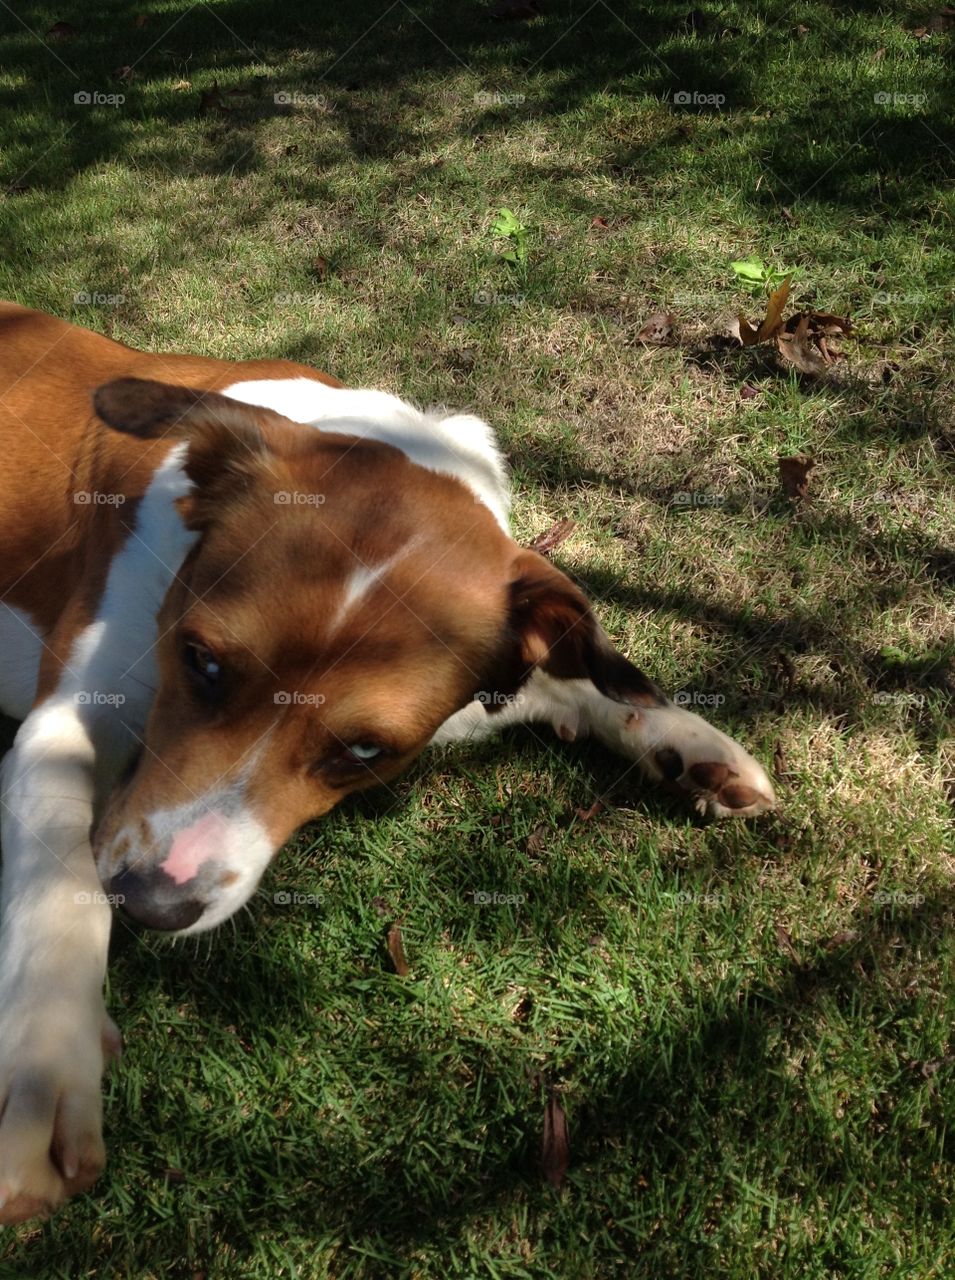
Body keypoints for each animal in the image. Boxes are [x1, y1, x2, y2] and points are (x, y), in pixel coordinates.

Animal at [0, 299, 768, 1218]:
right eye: (203, 663)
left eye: (365, 750)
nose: (151, 902)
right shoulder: (64, 730)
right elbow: (58, 884)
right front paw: (47, 1066)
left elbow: (576, 677)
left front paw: (681, 740)